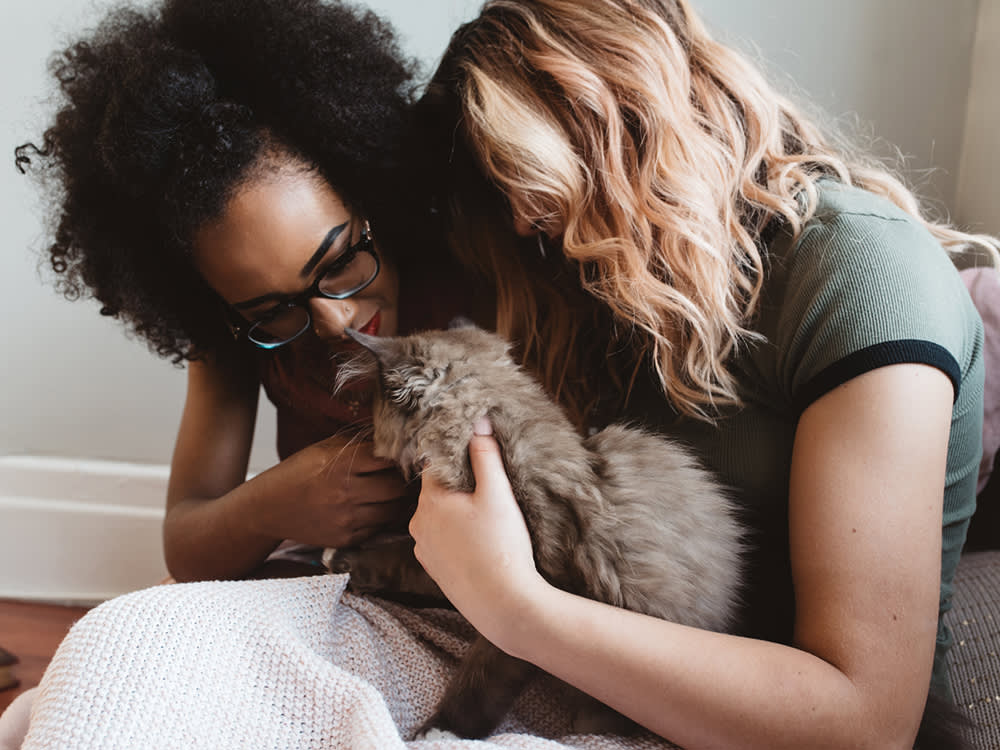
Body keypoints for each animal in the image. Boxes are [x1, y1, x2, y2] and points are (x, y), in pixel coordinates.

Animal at [334, 328, 744, 740]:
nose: (360, 429)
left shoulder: (511, 601)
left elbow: (476, 681)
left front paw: (441, 730)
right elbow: (394, 560)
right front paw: (339, 559)